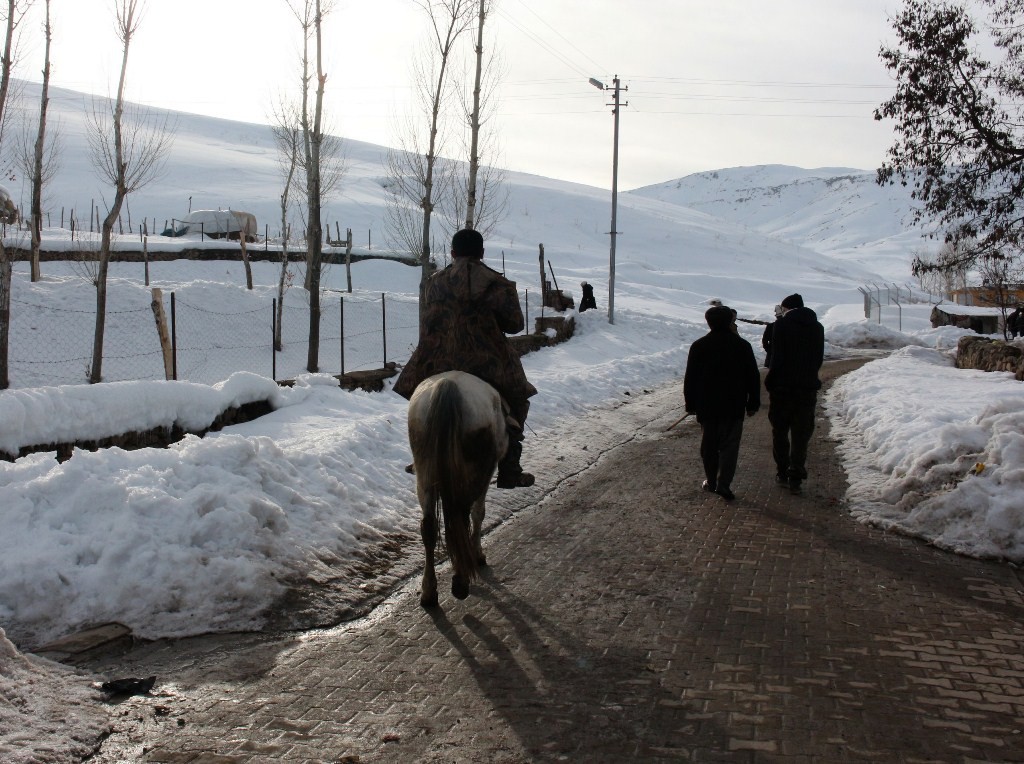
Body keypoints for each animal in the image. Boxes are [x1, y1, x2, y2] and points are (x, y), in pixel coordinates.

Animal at [403, 368, 507, 606]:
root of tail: (448, 385)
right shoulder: (486, 473)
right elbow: (479, 513)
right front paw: (478, 555)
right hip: (470, 474)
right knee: (461, 516)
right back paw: (461, 580)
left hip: (425, 475)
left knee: (430, 527)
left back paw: (429, 591)